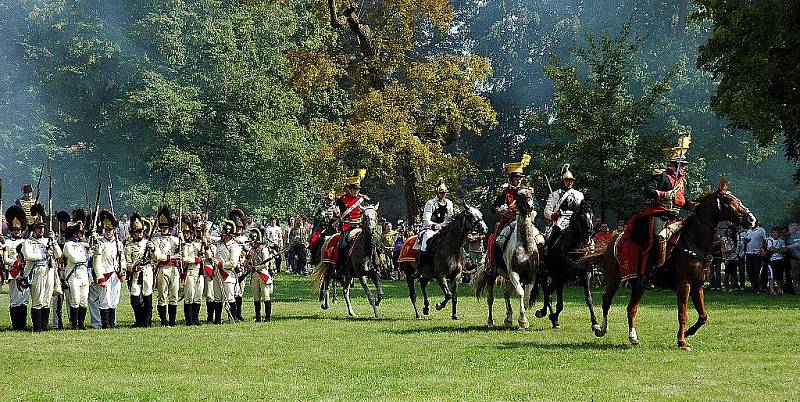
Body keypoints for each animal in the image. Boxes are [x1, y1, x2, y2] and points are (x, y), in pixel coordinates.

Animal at [476, 187, 544, 328]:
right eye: (519, 196)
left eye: (531, 195)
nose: (530, 207)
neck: (524, 247)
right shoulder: (514, 273)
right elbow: (521, 293)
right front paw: (522, 321)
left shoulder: (530, 276)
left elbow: (526, 297)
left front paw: (523, 320)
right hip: (492, 275)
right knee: (490, 299)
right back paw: (490, 322)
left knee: (506, 293)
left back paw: (508, 319)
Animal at [592, 181, 756, 350]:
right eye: (728, 200)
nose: (751, 220)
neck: (693, 242)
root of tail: (614, 239)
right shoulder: (684, 285)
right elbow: (682, 314)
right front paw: (682, 341)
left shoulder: (698, 286)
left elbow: (703, 315)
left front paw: (688, 333)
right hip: (614, 279)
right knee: (606, 300)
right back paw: (600, 329)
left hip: (638, 285)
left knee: (631, 308)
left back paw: (633, 338)